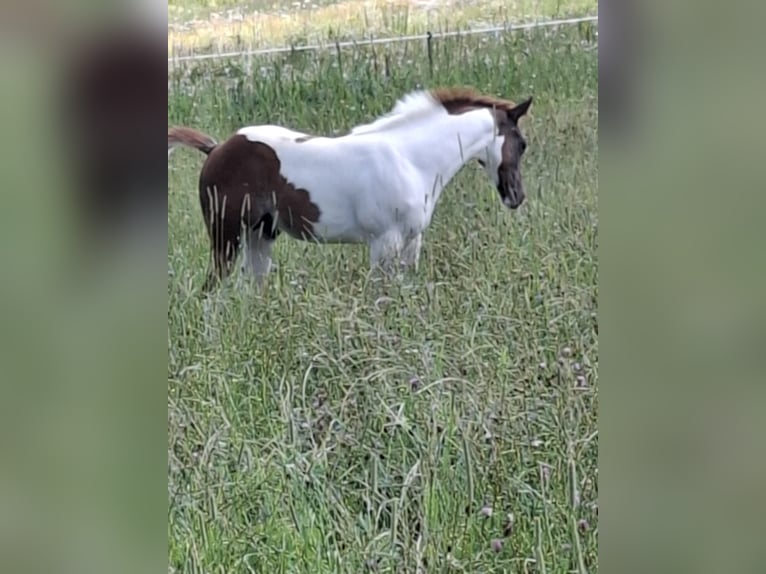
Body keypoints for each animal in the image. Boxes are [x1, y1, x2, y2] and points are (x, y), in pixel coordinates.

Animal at [168, 86, 536, 292]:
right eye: (522, 144)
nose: (516, 197)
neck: (410, 159)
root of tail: (216, 149)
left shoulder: (411, 242)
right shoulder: (384, 243)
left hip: (260, 235)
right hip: (225, 235)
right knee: (210, 291)